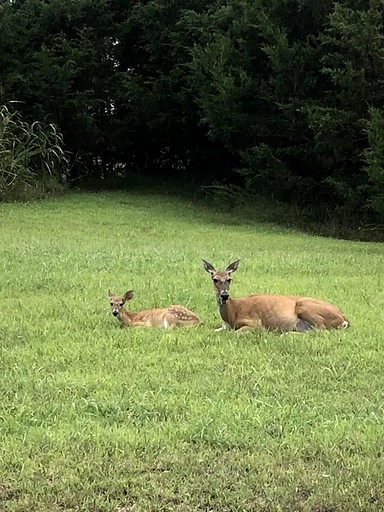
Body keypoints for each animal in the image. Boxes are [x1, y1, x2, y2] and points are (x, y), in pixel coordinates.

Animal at [202, 260, 350, 332]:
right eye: (215, 279)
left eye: (229, 279)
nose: (224, 295)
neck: (232, 313)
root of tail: (343, 318)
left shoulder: (256, 323)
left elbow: (235, 333)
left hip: (304, 306)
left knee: (322, 330)